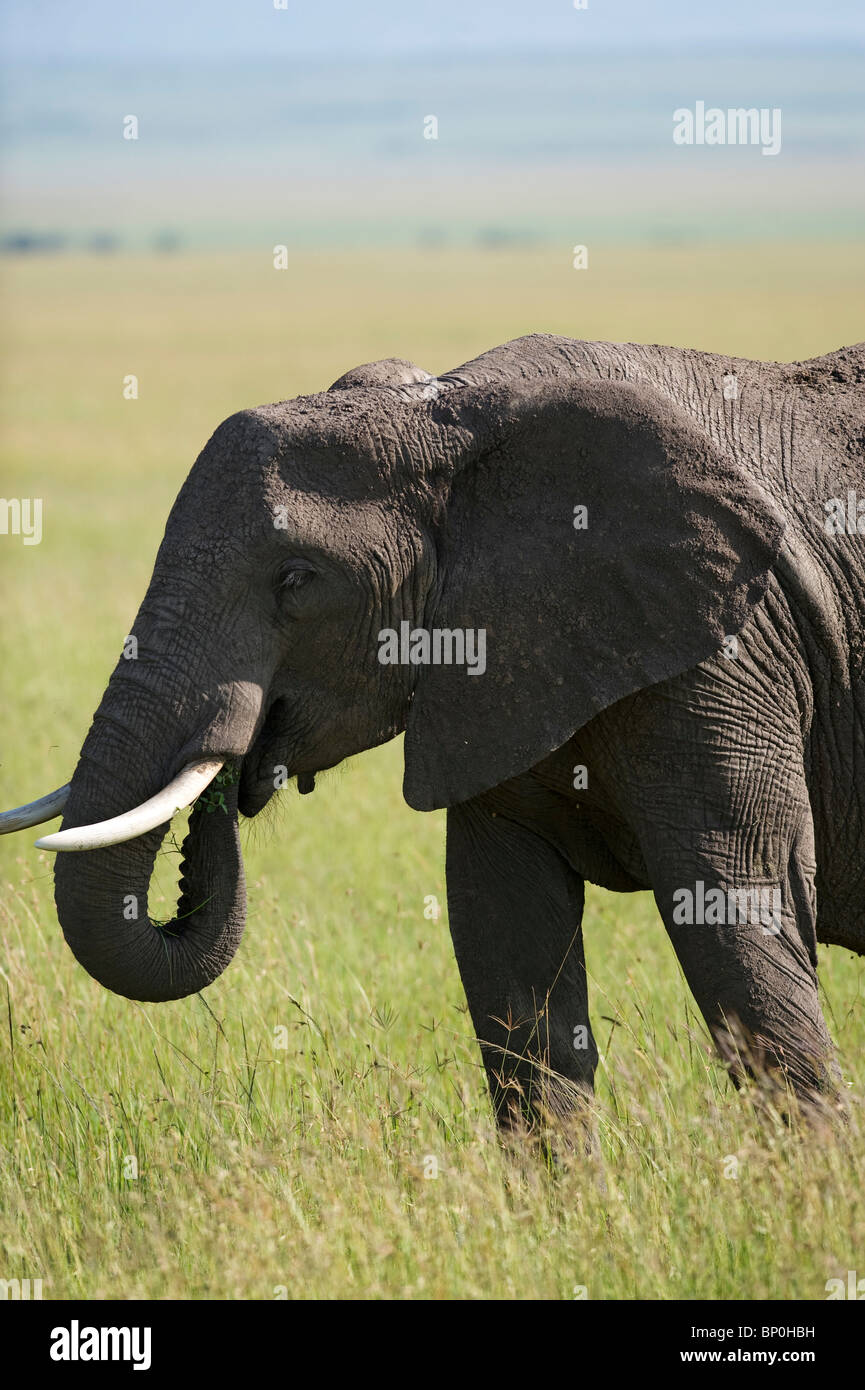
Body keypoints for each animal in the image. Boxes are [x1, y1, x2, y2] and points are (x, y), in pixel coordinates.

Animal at [1, 333, 865, 1128]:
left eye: (296, 580)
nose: (232, 767)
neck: (453, 418)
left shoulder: (730, 653)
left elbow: (735, 920)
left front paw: (801, 1184)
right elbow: (504, 944)